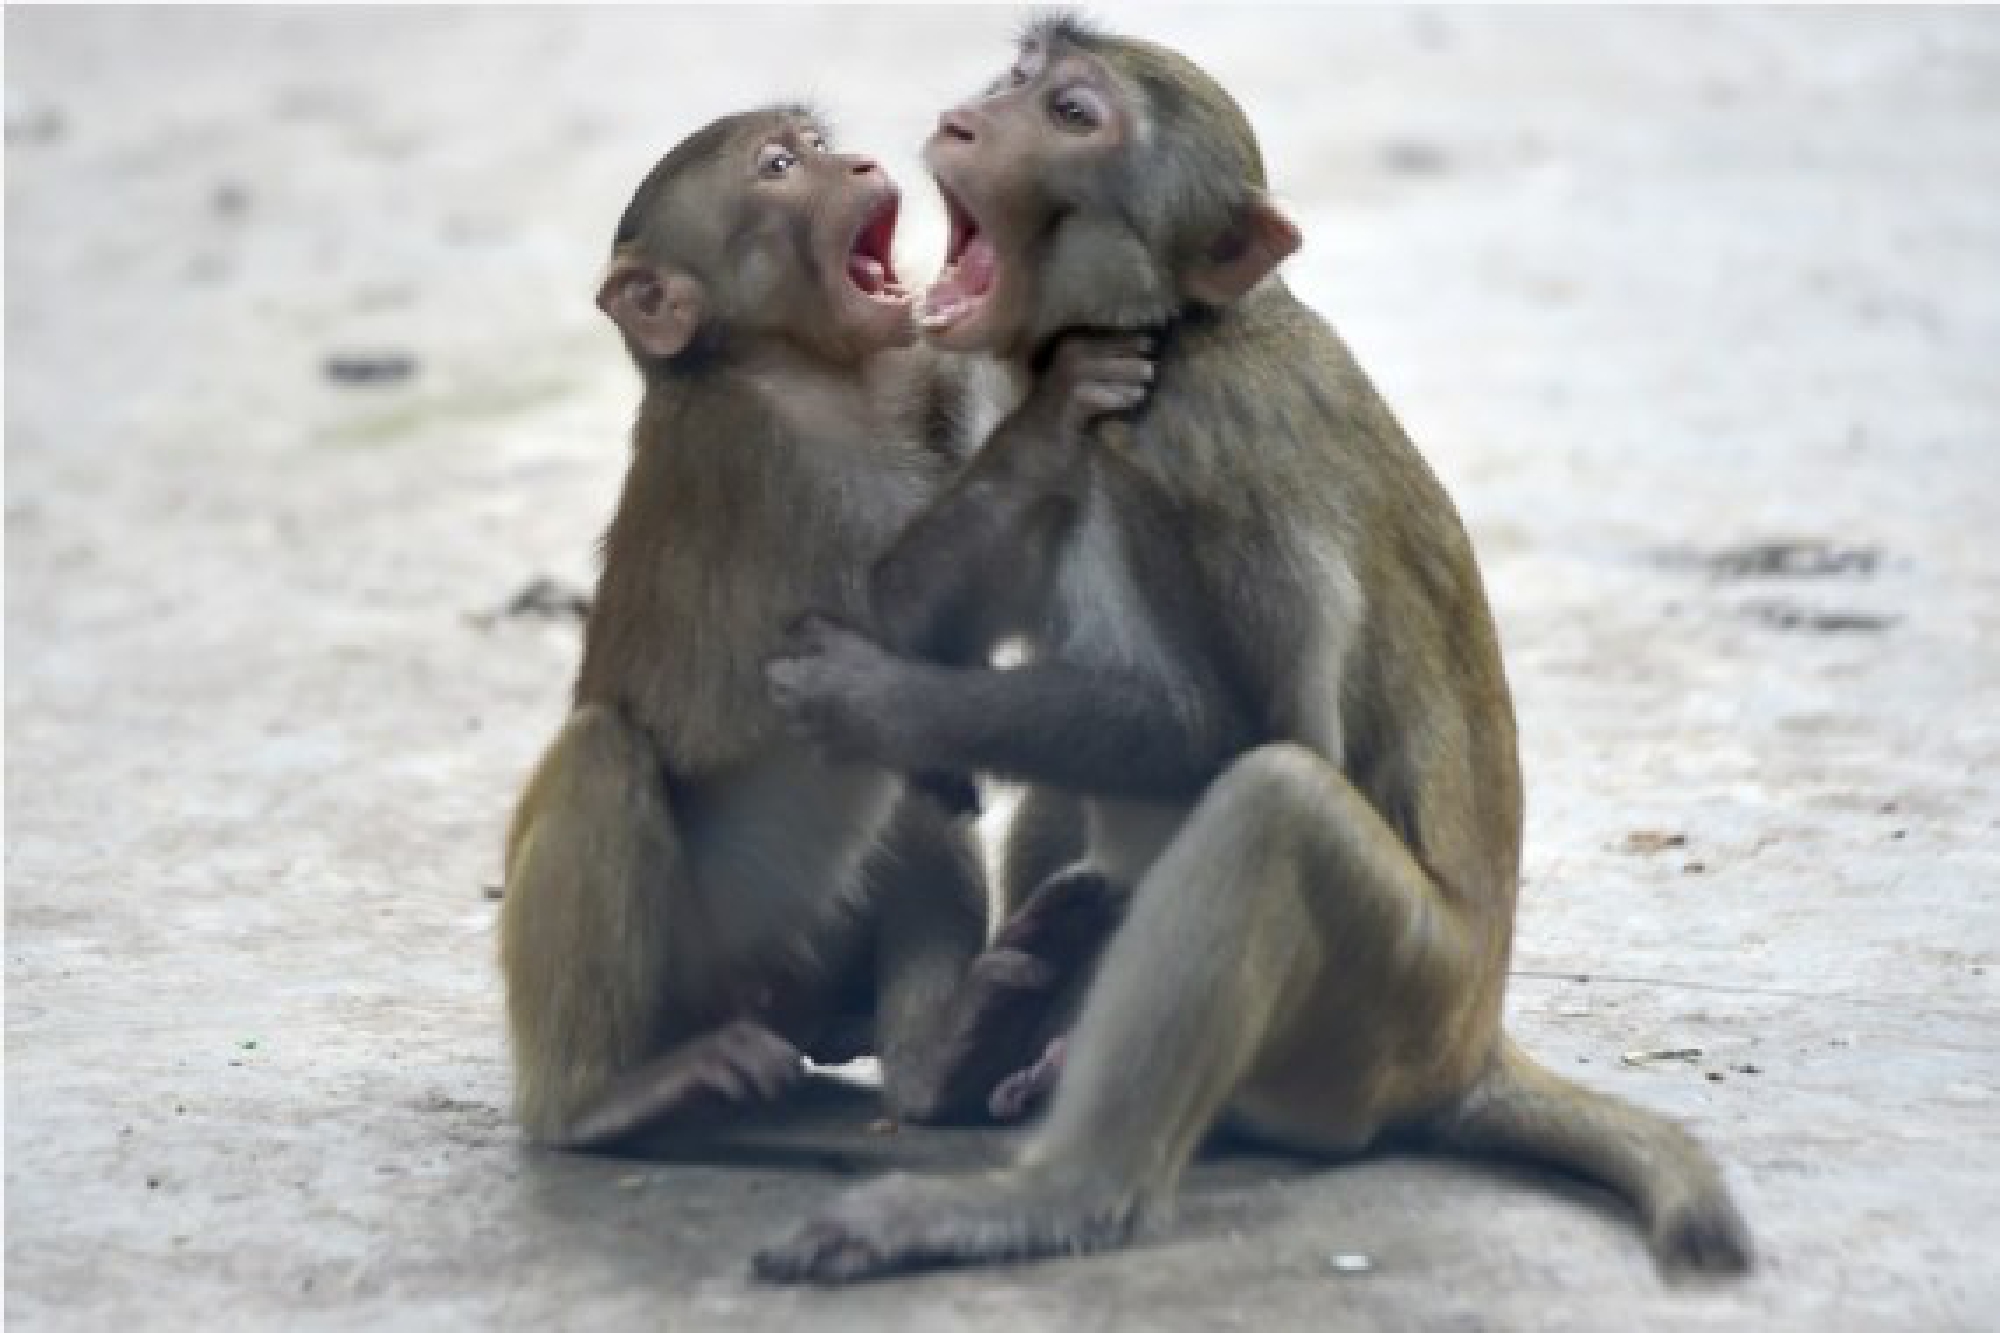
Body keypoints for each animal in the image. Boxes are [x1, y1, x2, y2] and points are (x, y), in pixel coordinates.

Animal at [498, 105, 998, 1153]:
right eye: (777, 167)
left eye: (816, 142)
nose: (858, 162)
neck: (798, 361)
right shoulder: (766, 455)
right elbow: (904, 598)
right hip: (681, 975)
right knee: (603, 753)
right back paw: (599, 1101)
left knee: (911, 770)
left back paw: (941, 1063)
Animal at [751, 17, 1754, 1282]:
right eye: (1021, 74)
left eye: (1073, 115)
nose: (964, 120)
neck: (1168, 330)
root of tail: (1469, 1043)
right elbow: (940, 618)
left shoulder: (1192, 452)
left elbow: (1234, 731)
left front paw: (865, 702)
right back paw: (983, 1053)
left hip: (1382, 1013)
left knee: (1273, 808)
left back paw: (1061, 1189)